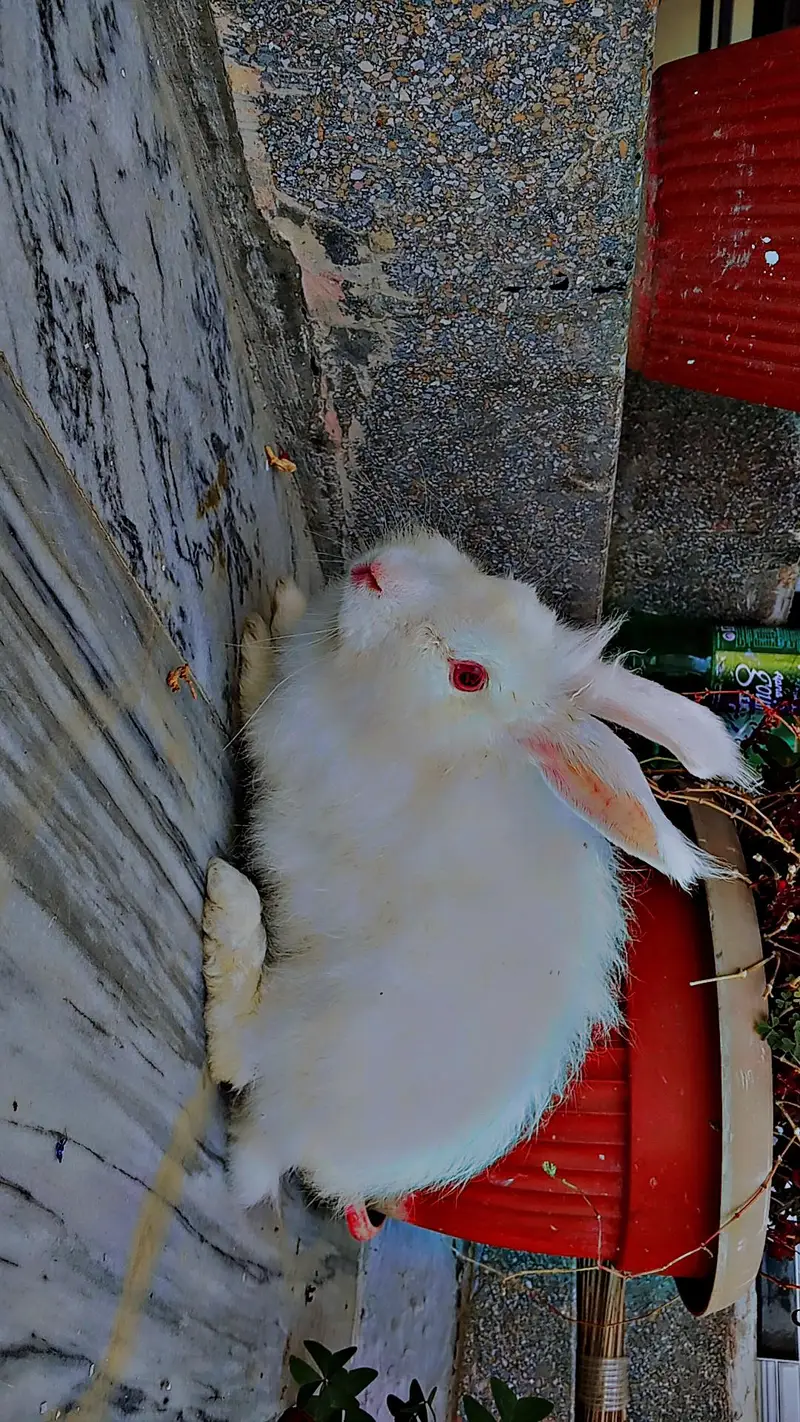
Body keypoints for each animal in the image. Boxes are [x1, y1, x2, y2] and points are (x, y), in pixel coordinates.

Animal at [202, 527, 755, 1217]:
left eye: (468, 676)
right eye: (508, 589)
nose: (375, 573)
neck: (442, 742)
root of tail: (292, 1141)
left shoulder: (286, 739)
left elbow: (256, 702)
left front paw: (258, 637)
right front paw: (289, 605)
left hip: (302, 1023)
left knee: (235, 1054)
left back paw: (228, 906)